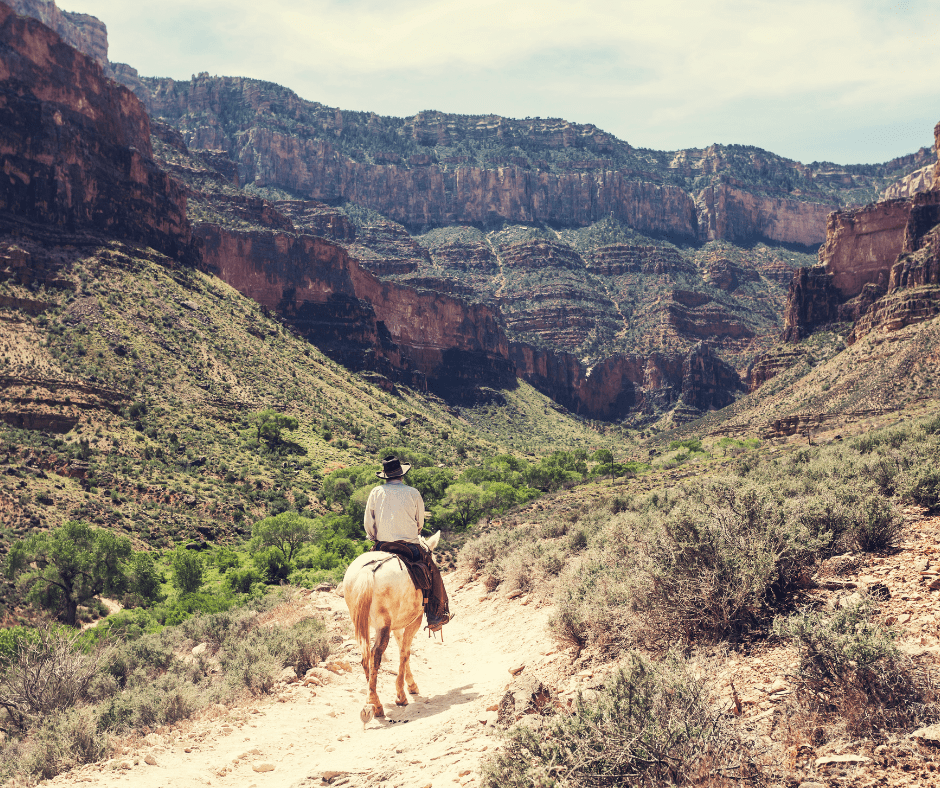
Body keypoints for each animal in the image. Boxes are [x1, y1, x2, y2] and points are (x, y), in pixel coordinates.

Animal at [342, 532, 440, 716]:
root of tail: (368, 570)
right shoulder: (414, 621)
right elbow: (405, 652)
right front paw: (402, 694)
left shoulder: (397, 625)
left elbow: (402, 648)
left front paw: (410, 685)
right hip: (383, 626)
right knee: (376, 653)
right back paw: (377, 704)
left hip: (362, 623)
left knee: (365, 656)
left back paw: (373, 699)